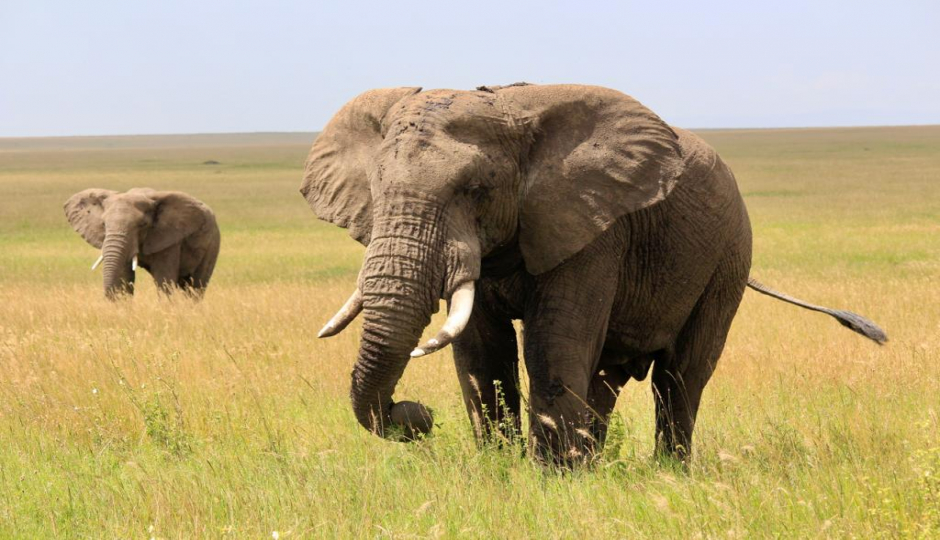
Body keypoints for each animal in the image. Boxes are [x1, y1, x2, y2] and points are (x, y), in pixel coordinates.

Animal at [65, 188, 221, 300]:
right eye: (103, 224)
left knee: (196, 286)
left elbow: (163, 279)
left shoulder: (169, 238)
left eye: (142, 225)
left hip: (212, 243)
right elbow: (125, 276)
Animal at [298, 84, 884, 464]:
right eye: (375, 192)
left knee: (682, 376)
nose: (417, 416)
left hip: (729, 256)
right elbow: (482, 351)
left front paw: (550, 480)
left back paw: (666, 474)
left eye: (476, 190)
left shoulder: (595, 226)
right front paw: (502, 472)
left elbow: (554, 343)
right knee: (606, 375)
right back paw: (597, 465)